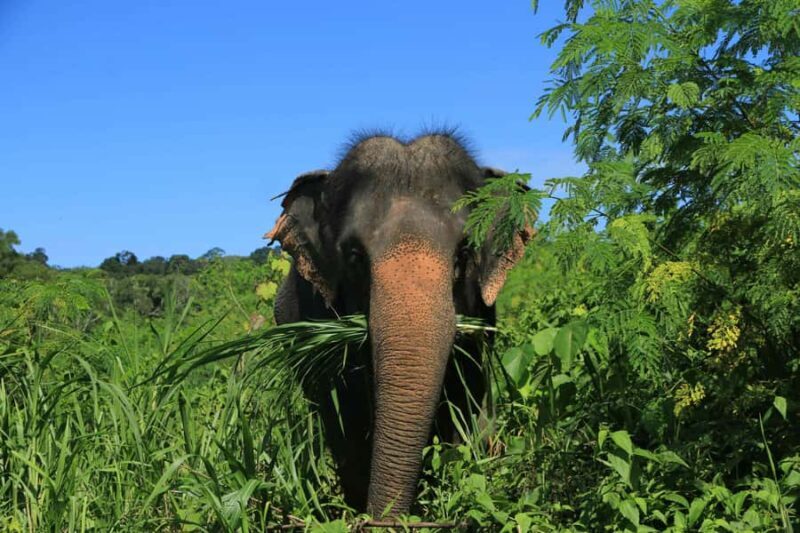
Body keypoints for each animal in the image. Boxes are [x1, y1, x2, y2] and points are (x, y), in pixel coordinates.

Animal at [265, 131, 533, 517]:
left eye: (464, 254)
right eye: (355, 257)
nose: (382, 521)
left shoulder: (482, 317)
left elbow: (466, 401)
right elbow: (345, 417)